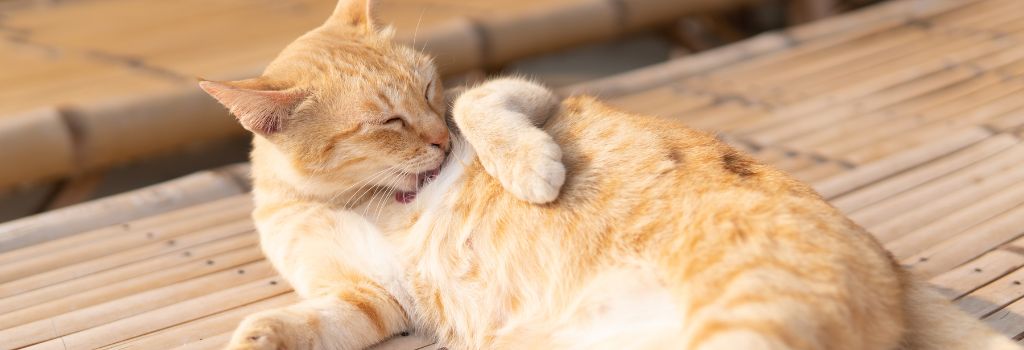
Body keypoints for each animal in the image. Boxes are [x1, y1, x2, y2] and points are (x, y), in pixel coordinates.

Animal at [195, 0, 1019, 350]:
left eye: (428, 90)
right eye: (386, 122)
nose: (431, 135)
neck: (361, 199)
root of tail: (894, 267)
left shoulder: (524, 92)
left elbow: (485, 109)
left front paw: (532, 172)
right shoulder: (370, 298)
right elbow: (317, 322)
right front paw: (261, 336)